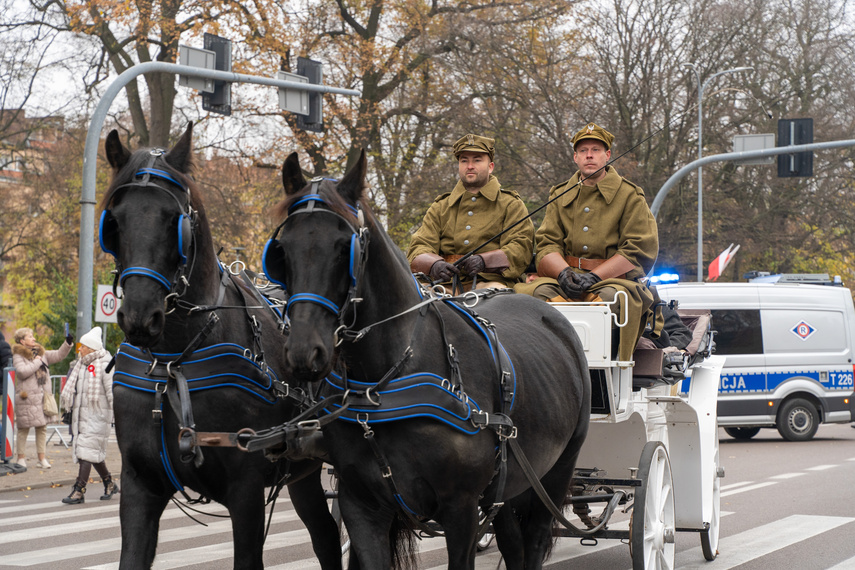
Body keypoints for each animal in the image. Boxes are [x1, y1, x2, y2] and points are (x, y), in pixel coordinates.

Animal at [100, 125, 342, 568]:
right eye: (115, 221)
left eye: (174, 219)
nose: (141, 317)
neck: (173, 362)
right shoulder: (140, 487)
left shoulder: (245, 491)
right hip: (302, 471)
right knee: (325, 536)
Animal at [264, 152, 592, 568]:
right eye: (281, 250)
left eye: (344, 248)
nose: (305, 351)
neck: (386, 383)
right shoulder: (362, 507)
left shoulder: (461, 509)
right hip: (509, 485)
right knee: (512, 540)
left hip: (555, 473)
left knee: (533, 539)